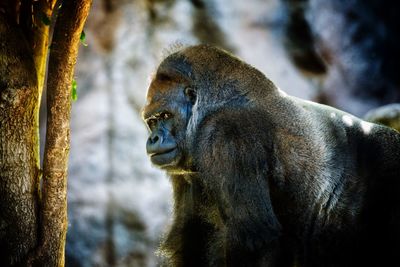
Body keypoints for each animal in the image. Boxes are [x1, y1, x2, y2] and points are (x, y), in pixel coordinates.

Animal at [142, 45, 398, 266]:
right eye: (152, 121)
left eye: (166, 115)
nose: (153, 139)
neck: (212, 104)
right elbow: (190, 239)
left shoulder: (225, 134)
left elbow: (256, 242)